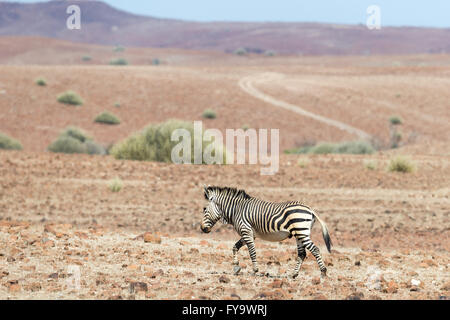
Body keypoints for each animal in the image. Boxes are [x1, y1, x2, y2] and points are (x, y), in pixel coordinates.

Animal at [199, 185, 332, 278]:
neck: (236, 210)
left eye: (204, 209)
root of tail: (310, 209)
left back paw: (323, 273)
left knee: (315, 249)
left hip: (301, 232)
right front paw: (236, 267)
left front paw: (255, 271)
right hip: (299, 234)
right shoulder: (249, 234)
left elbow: (252, 252)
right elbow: (235, 247)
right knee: (302, 254)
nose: (202, 228)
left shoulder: (246, 231)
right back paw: (293, 275)